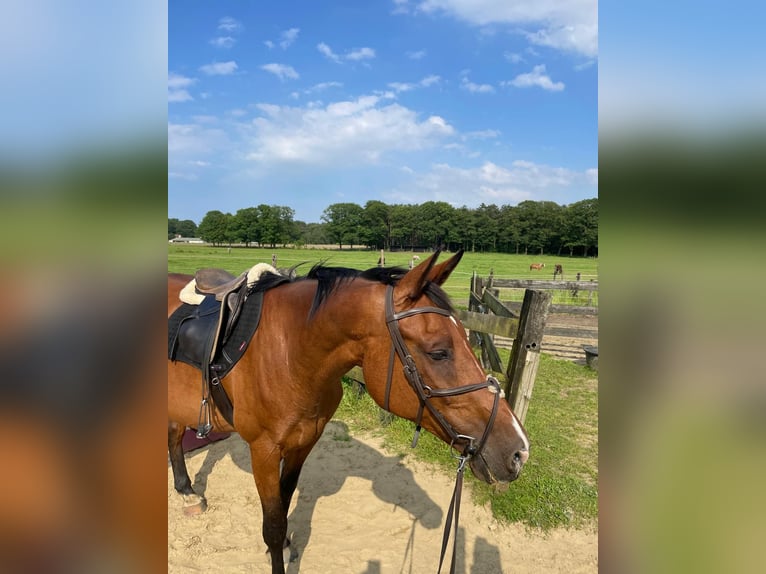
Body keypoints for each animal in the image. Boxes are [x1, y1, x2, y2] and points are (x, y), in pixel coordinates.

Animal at [167, 252, 532, 574]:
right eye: (438, 352)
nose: (519, 452)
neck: (289, 352)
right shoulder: (264, 452)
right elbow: (272, 525)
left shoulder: (303, 443)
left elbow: (284, 506)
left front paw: (283, 547)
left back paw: (187, 492)